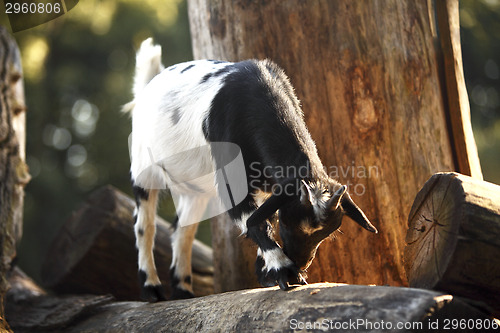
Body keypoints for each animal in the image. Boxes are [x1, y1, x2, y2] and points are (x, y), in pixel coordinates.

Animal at [127, 39, 376, 300]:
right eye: (289, 223)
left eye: (325, 233)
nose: (301, 263)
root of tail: (149, 84)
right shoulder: (231, 181)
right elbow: (254, 220)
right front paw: (283, 270)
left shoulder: (270, 188)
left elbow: (263, 217)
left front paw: (266, 274)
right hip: (143, 168)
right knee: (144, 225)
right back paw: (152, 289)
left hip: (195, 191)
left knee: (182, 230)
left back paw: (183, 291)